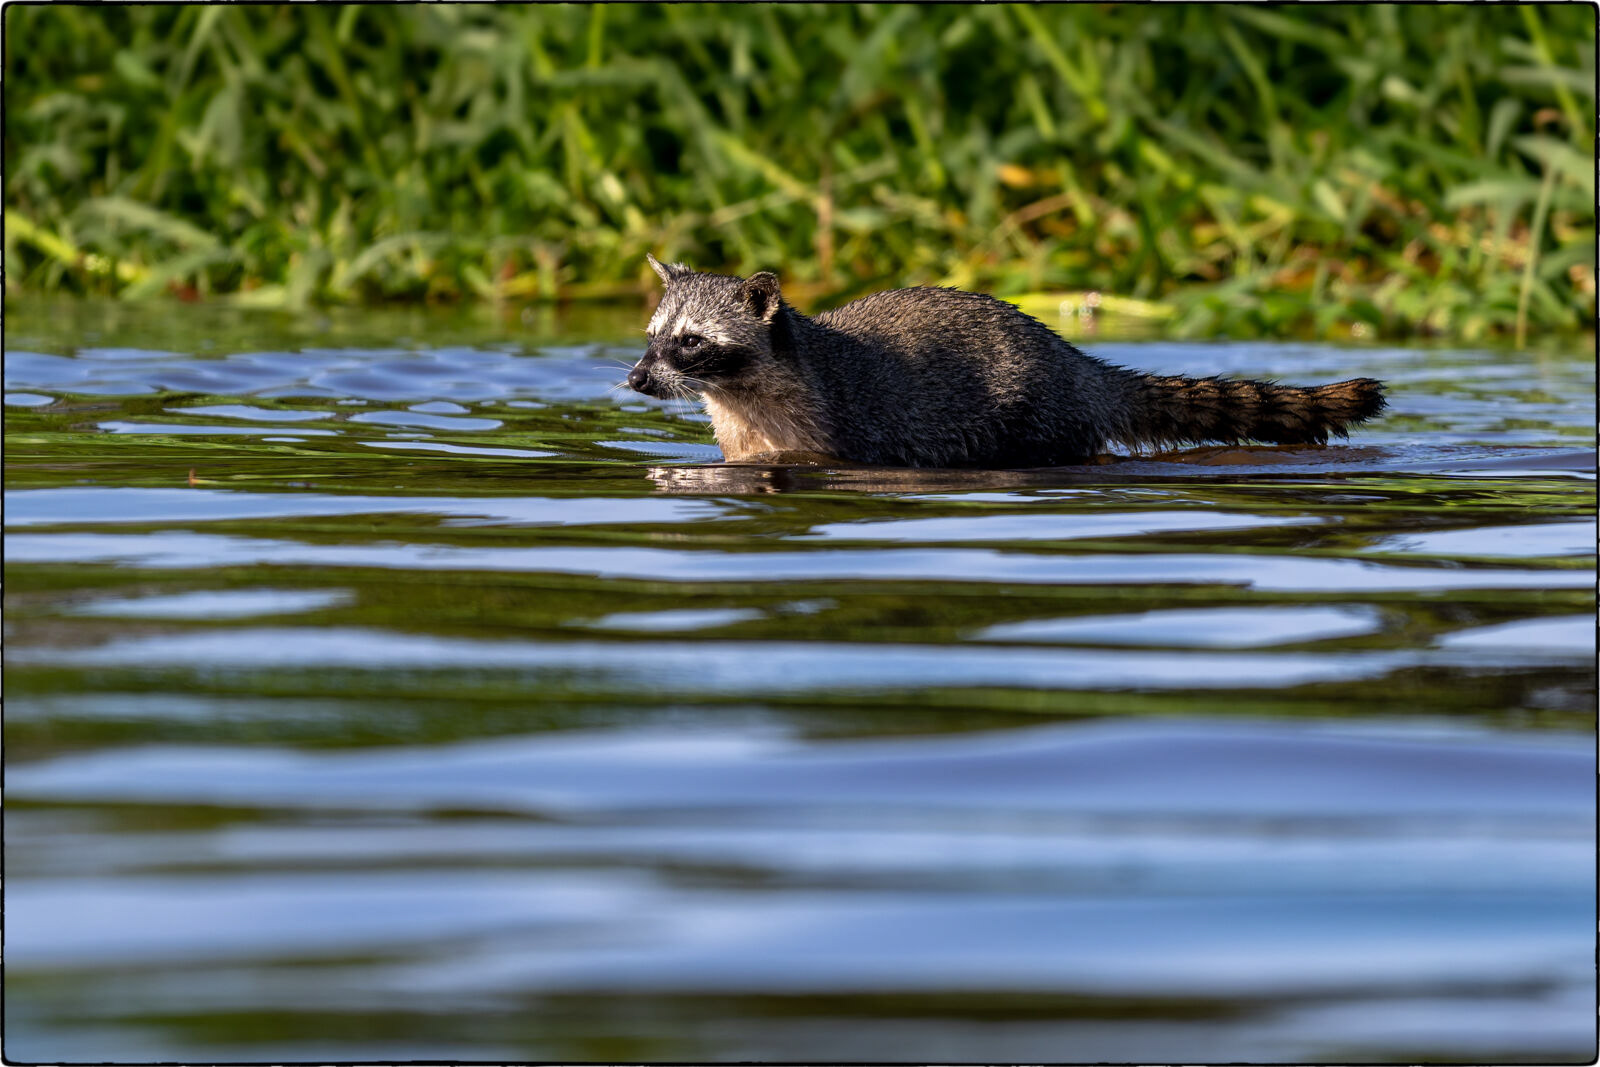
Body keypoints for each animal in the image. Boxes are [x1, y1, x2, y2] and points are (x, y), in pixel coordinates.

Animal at [627, 254, 1386, 468]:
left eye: (690, 341)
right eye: (652, 333)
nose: (635, 377)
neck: (741, 398)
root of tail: (1074, 360)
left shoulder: (838, 429)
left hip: (1033, 413)